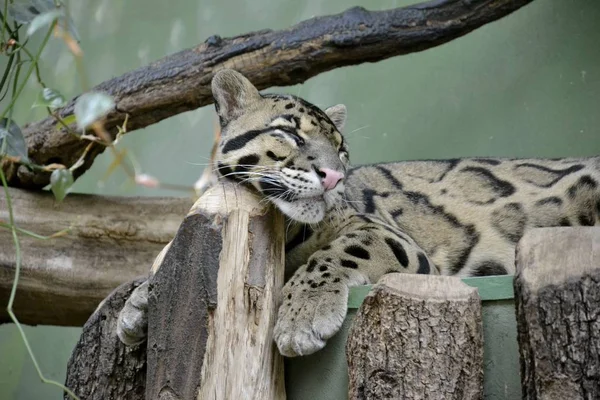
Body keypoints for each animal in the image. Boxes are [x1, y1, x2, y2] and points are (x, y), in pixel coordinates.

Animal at [117, 68, 600, 356]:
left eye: (341, 148)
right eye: (289, 133)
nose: (333, 176)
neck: (285, 229)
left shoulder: (390, 237)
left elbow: (338, 252)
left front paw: (302, 316)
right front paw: (137, 302)